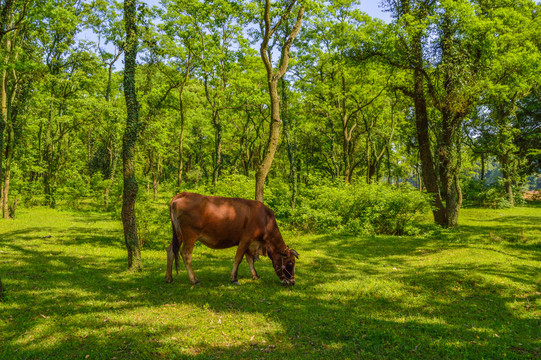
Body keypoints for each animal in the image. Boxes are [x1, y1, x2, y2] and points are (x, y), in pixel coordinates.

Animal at [166, 193, 300, 286]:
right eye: (290, 263)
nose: (292, 282)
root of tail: (185, 194)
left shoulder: (251, 243)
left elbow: (250, 259)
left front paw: (255, 276)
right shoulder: (246, 239)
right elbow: (239, 258)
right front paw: (234, 278)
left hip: (178, 234)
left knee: (170, 250)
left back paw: (169, 278)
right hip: (190, 235)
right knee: (185, 253)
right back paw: (194, 280)